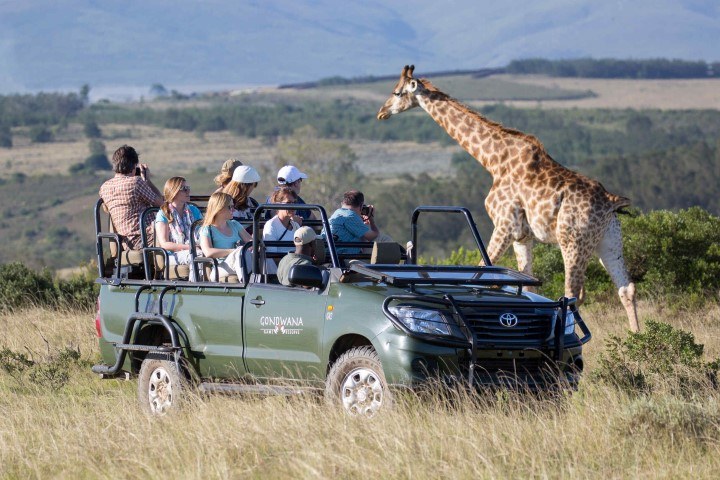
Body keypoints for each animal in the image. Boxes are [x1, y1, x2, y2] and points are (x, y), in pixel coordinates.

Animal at [380, 65, 640, 332]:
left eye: (397, 92)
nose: (382, 112)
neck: (494, 161)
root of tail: (611, 202)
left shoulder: (504, 223)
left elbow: (482, 271)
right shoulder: (522, 235)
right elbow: (524, 280)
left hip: (573, 241)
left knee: (574, 294)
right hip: (609, 240)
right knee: (626, 288)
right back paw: (635, 338)